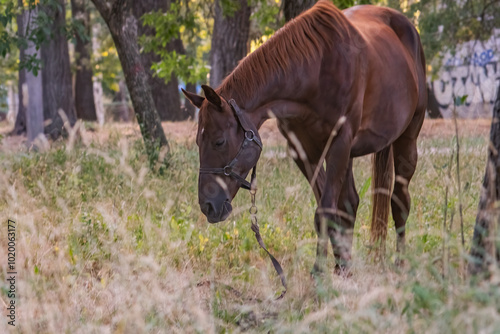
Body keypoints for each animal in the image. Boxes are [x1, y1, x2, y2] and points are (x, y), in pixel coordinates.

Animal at [183, 0, 426, 274]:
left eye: (219, 141)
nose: (208, 205)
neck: (316, 71)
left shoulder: (339, 144)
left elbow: (325, 210)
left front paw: (318, 273)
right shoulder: (303, 150)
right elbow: (330, 209)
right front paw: (339, 268)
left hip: (406, 140)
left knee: (399, 201)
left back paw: (401, 263)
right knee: (350, 202)